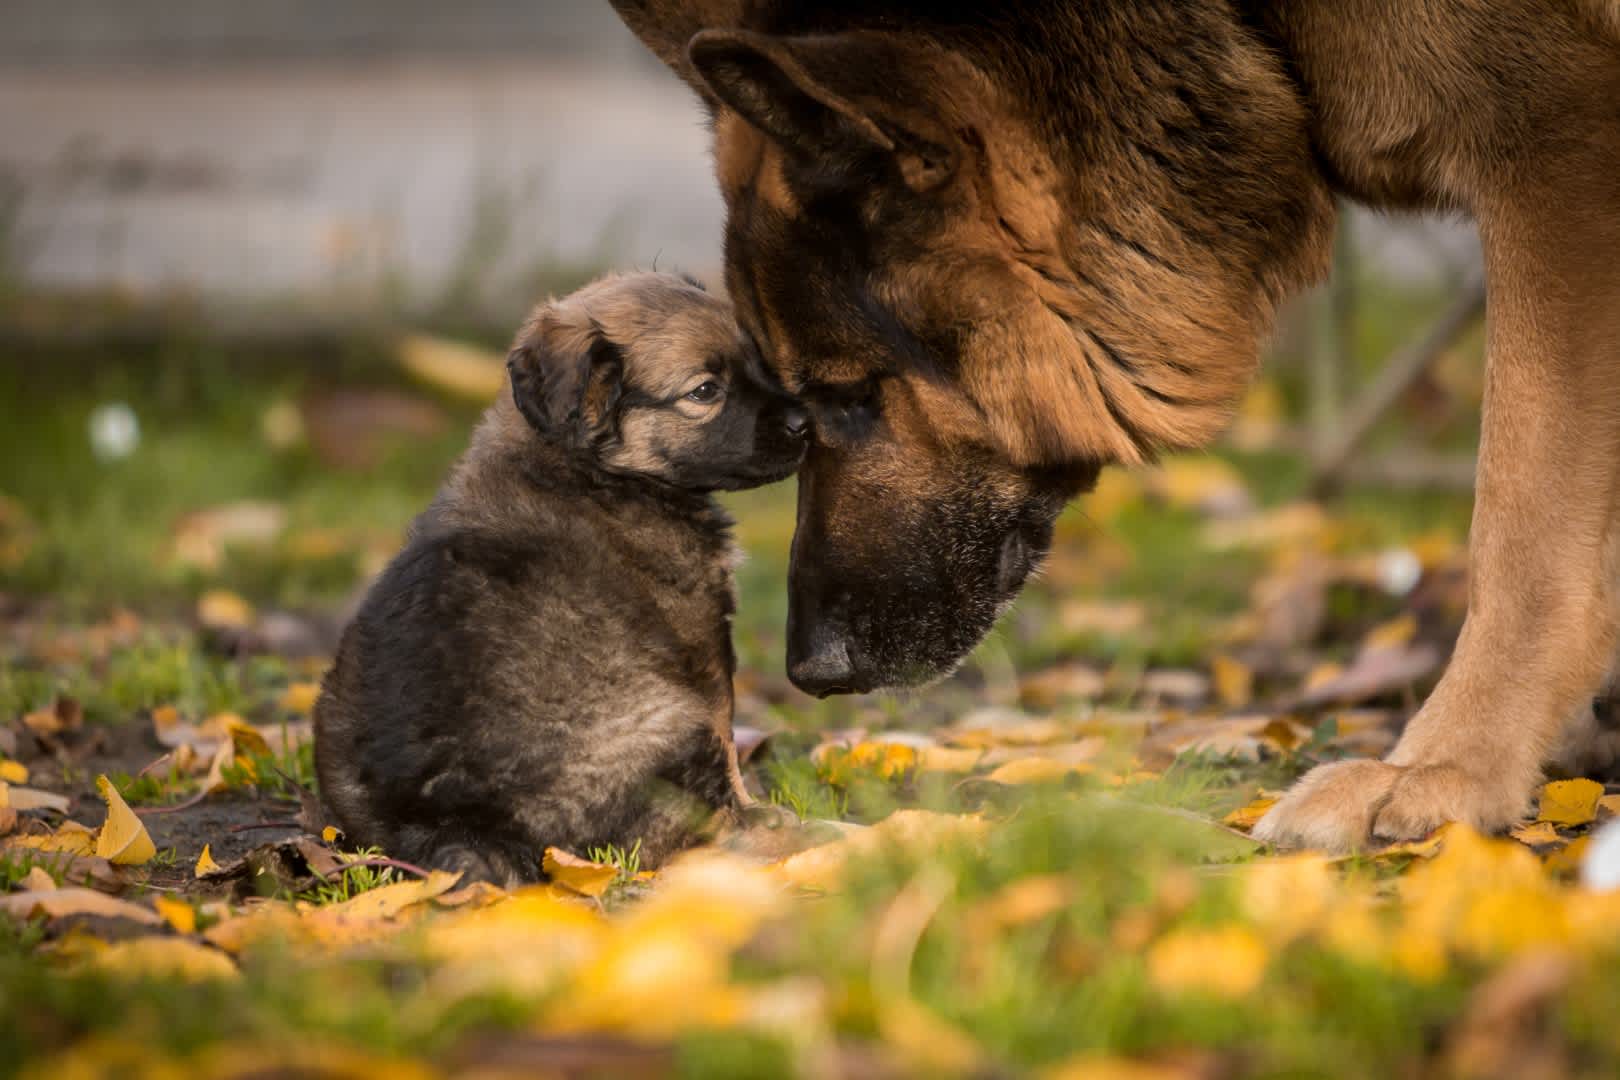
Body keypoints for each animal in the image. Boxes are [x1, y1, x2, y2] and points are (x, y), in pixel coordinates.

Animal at [309, 272, 803, 887]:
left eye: (756, 360)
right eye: (705, 391)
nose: (805, 423)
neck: (585, 466)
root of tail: (451, 823)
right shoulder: (701, 645)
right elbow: (726, 736)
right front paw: (753, 805)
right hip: (667, 718)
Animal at [609, 0, 1620, 854]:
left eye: (850, 394)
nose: (810, 671)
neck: (1259, 24)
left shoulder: (1557, 143)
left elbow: (1522, 525)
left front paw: (1446, 767)